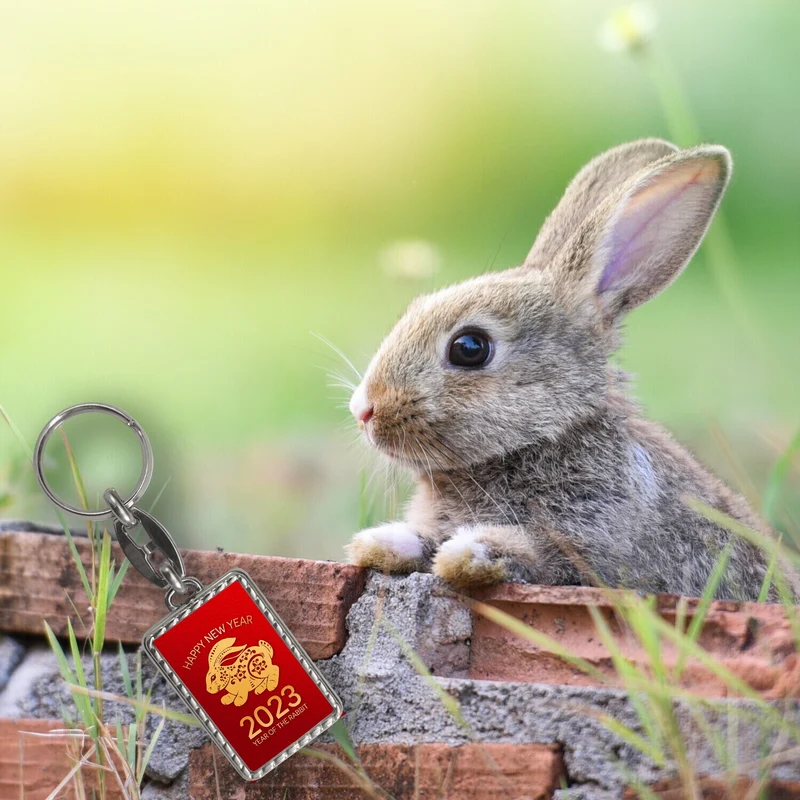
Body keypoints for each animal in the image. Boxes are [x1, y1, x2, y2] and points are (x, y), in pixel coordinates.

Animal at [344, 138, 782, 602]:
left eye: (470, 348)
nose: (363, 409)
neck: (547, 436)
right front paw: (381, 542)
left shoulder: (592, 544)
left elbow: (536, 554)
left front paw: (469, 552)